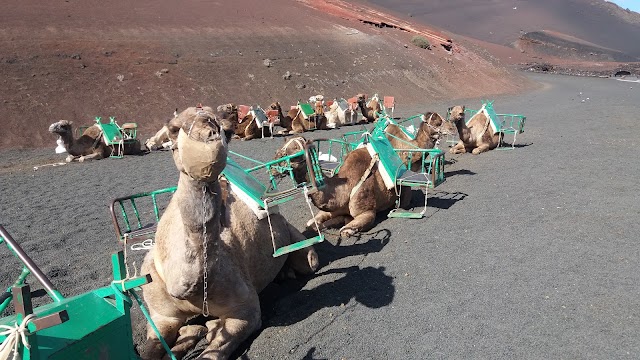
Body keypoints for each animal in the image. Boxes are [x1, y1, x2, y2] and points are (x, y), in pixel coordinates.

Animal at [142, 105, 318, 360]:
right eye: (174, 129)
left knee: (309, 261)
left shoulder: (245, 310)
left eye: (227, 131)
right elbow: (148, 350)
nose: (210, 137)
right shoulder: (161, 317)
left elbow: (213, 353)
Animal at [272, 136, 412, 238]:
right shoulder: (333, 207)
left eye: (295, 149)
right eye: (282, 147)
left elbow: (348, 227)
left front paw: (348, 229)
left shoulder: (367, 211)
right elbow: (312, 222)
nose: (277, 156)